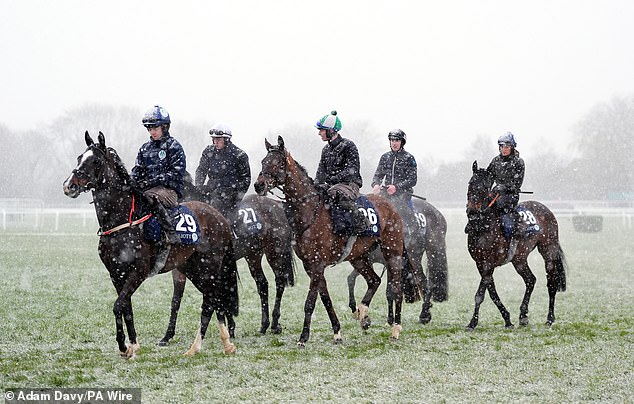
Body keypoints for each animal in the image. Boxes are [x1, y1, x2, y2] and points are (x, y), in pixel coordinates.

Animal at [63, 131, 237, 356]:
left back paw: (194, 348)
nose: (69, 185)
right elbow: (126, 306)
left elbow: (118, 305)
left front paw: (123, 345)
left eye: (96, 161)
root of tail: (220, 217)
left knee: (209, 301)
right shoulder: (115, 273)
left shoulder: (139, 270)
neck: (123, 221)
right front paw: (133, 345)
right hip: (191, 267)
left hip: (209, 266)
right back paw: (226, 343)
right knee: (214, 298)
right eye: (79, 158)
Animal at [160, 190, 294, 344]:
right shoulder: (180, 270)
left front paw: (229, 328)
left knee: (280, 282)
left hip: (275, 252)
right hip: (253, 255)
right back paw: (264, 325)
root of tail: (277, 204)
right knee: (262, 284)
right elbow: (176, 301)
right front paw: (167, 335)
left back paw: (275, 324)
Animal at [254, 136, 412, 348]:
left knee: (396, 287)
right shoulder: (311, 266)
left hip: (392, 252)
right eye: (263, 161)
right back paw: (363, 314)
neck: (310, 212)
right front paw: (337, 332)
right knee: (374, 280)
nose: (259, 185)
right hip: (358, 257)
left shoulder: (317, 264)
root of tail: (391, 205)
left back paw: (395, 329)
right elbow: (325, 299)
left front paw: (303, 337)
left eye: (277, 163)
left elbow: (310, 302)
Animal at [346, 196, 450, 326]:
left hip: (424, 254)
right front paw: (356, 309)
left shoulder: (387, 263)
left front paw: (390, 319)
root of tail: (438, 213)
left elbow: (390, 291)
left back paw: (424, 314)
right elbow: (351, 279)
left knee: (425, 282)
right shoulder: (369, 261)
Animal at [462, 159, 564, 330]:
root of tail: (546, 210)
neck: (483, 226)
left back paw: (549, 318)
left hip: (548, 250)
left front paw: (472, 322)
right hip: (519, 259)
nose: (472, 213)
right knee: (531, 280)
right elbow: (492, 292)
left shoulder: (488, 263)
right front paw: (507, 319)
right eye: (470, 183)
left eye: (485, 187)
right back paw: (523, 316)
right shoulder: (480, 263)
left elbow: (480, 294)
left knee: (551, 282)